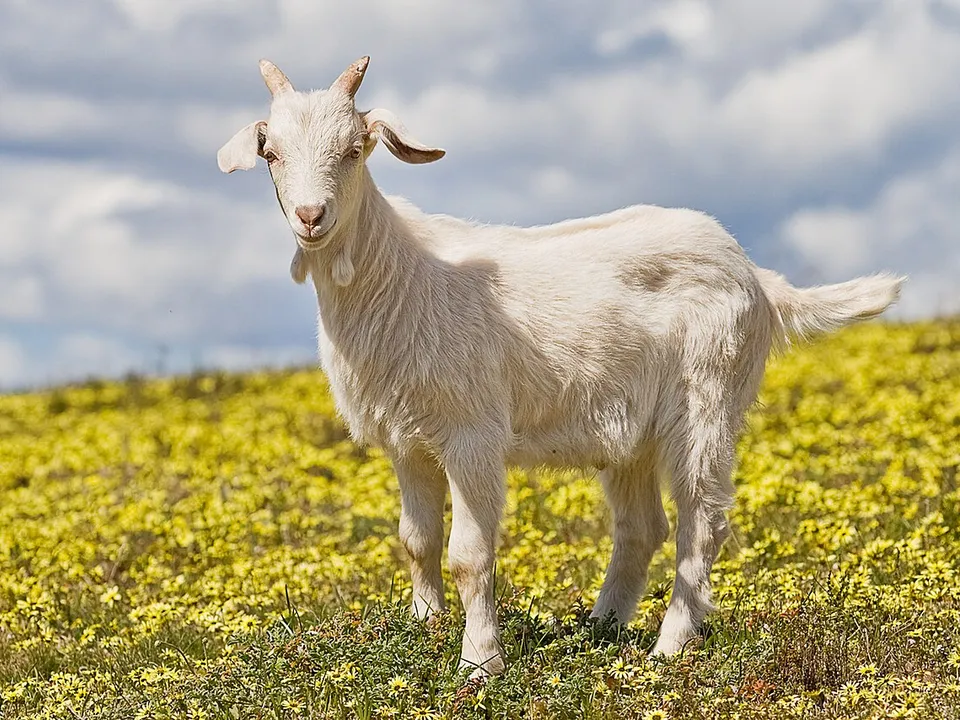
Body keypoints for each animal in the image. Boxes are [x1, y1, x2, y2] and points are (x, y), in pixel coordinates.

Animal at [218, 57, 903, 677]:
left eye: (355, 149)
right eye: (271, 153)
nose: (311, 217)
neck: (402, 276)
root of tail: (758, 277)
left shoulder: (472, 434)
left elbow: (470, 553)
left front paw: (480, 664)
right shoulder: (406, 441)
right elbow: (417, 541)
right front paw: (426, 632)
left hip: (709, 398)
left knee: (702, 521)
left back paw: (669, 646)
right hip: (632, 434)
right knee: (641, 527)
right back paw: (600, 630)